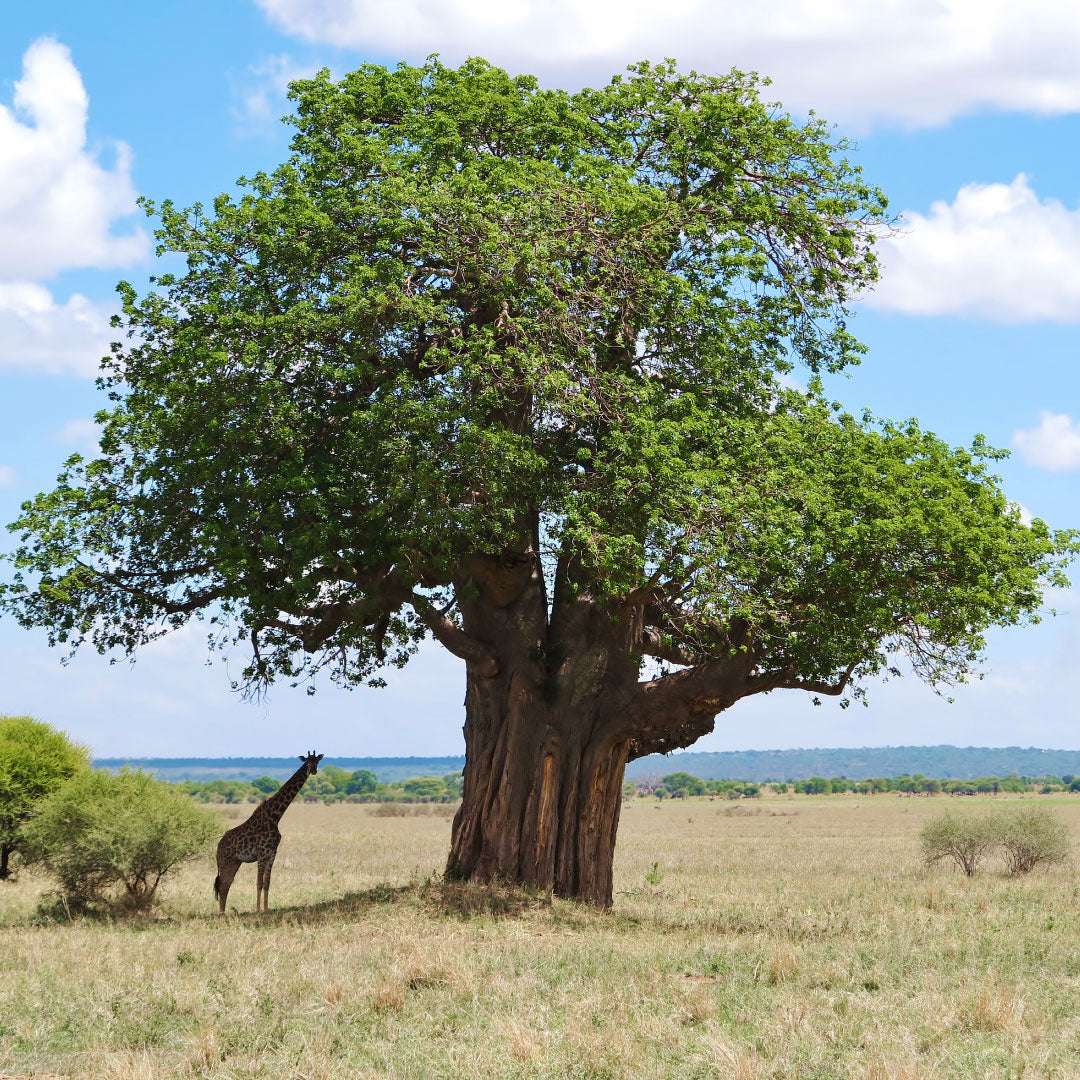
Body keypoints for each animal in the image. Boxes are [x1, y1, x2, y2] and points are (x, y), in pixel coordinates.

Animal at [212, 751, 321, 911]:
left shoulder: (272, 853)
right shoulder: (262, 853)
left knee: (225, 885)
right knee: (223, 885)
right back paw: (222, 913)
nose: (313, 771)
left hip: (235, 862)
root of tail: (218, 847)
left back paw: (223, 912)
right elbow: (259, 883)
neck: (275, 816)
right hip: (226, 862)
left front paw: (266, 909)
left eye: (317, 762)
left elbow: (267, 883)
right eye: (307, 762)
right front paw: (258, 910)